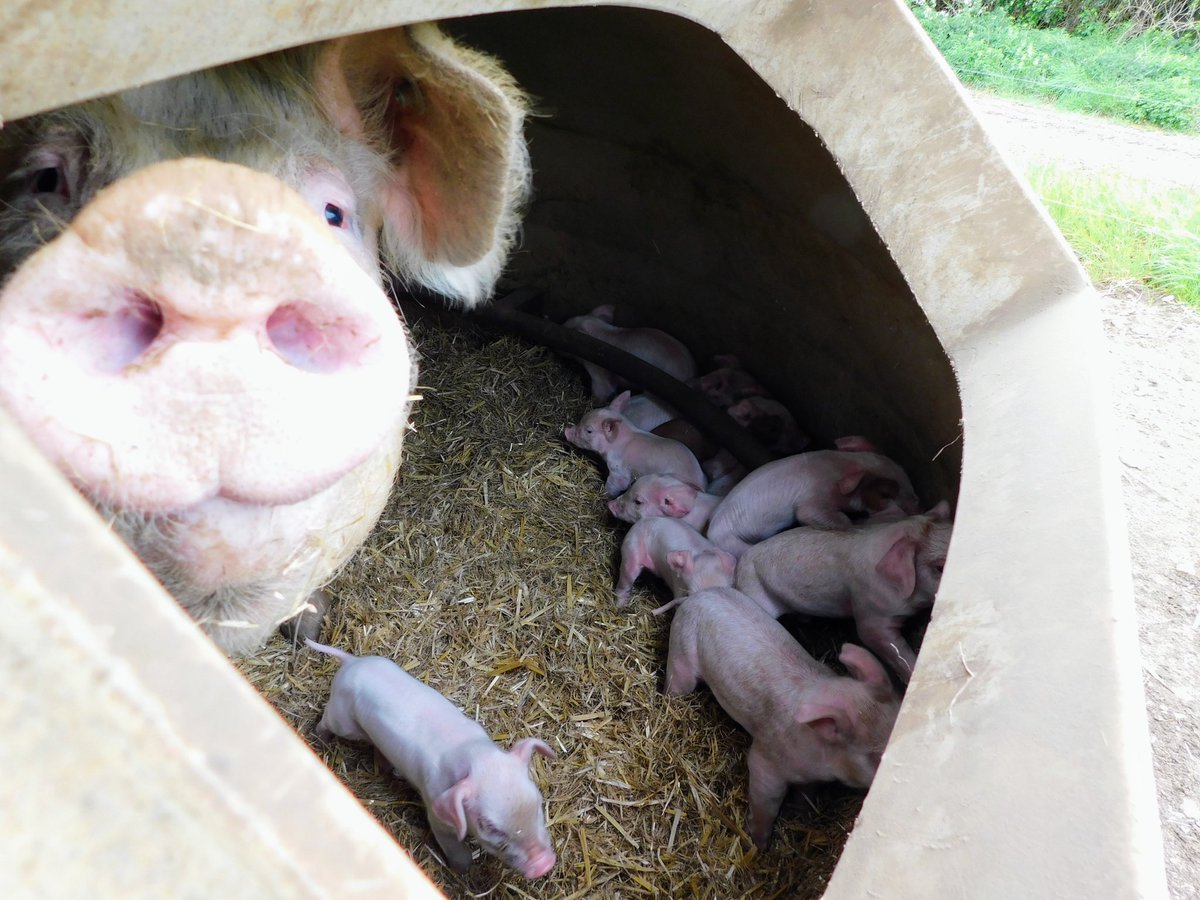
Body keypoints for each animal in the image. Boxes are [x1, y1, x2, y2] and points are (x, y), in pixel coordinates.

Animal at [307, 640, 556, 879]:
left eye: (537, 803)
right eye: (489, 826)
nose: (544, 864)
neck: (475, 756)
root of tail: (351, 661)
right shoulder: (436, 813)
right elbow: (452, 846)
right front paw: (464, 872)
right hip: (343, 721)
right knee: (327, 718)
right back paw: (319, 737)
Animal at [664, 588, 900, 850]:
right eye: (875, 757)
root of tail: (694, 596)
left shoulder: (811, 777)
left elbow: (807, 792)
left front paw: (798, 813)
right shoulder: (766, 759)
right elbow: (766, 800)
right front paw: (759, 845)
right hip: (681, 655)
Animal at [705, 450, 921, 558]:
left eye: (907, 478)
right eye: (885, 493)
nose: (918, 505)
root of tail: (711, 529)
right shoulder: (815, 497)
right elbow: (811, 514)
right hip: (730, 542)